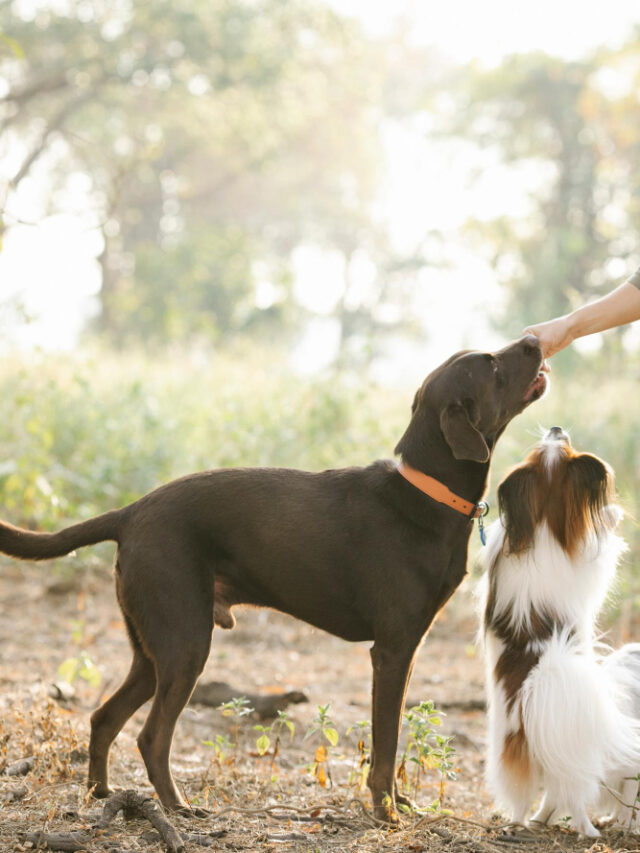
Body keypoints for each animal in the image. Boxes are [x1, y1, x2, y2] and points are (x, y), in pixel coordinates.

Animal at [0, 336, 548, 816]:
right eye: (492, 366)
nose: (532, 342)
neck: (425, 491)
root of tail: (130, 513)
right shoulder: (392, 651)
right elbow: (386, 744)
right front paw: (385, 811)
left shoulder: (408, 649)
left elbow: (389, 743)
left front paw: (398, 802)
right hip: (185, 643)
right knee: (151, 736)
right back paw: (177, 806)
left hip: (152, 650)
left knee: (103, 717)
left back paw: (100, 793)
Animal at [480, 426, 640, 832]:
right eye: (563, 446)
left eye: (552, 445)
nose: (556, 429)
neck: (543, 524)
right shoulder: (592, 559)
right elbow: (604, 540)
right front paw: (612, 513)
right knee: (574, 794)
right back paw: (587, 829)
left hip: (516, 754)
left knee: (531, 795)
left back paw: (523, 822)